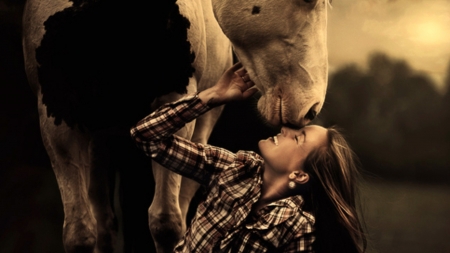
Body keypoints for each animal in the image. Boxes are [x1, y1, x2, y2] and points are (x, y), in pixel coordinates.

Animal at [21, 0, 328, 253]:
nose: (311, 108)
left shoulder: (174, 99)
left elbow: (166, 223)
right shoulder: (56, 116)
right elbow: (80, 233)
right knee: (103, 223)